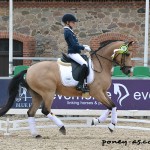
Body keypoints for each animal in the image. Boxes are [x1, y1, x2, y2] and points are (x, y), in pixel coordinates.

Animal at [0, 39, 134, 137]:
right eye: (127, 54)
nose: (128, 71)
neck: (100, 65)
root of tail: (29, 70)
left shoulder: (103, 92)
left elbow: (112, 106)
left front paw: (97, 121)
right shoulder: (97, 93)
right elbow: (111, 106)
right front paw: (110, 125)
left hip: (37, 95)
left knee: (31, 112)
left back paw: (36, 134)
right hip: (48, 93)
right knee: (45, 110)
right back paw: (62, 127)